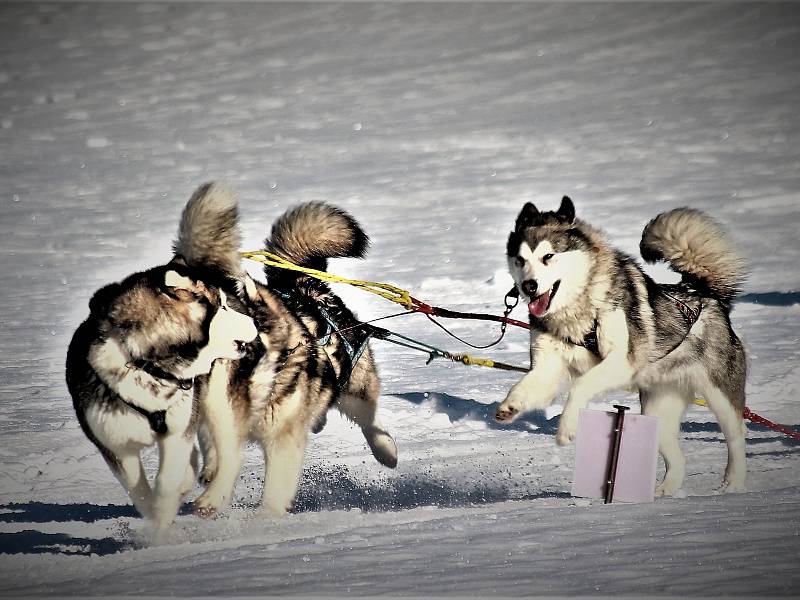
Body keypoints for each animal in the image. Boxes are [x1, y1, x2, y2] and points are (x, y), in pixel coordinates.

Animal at [67, 184, 260, 528]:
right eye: (224, 307)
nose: (254, 318)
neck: (147, 365)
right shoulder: (114, 444)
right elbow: (139, 490)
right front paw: (156, 518)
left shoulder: (176, 431)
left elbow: (166, 481)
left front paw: (162, 520)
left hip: (217, 400)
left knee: (229, 450)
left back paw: (212, 497)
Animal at [178, 189, 396, 516]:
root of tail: (299, 284)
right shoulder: (213, 413)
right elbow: (219, 451)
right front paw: (211, 485)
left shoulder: (281, 437)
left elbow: (272, 491)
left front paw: (264, 518)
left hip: (354, 386)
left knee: (368, 418)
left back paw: (386, 451)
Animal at [494, 197, 752, 492]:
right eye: (520, 259)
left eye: (548, 256)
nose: (529, 286)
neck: (576, 311)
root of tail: (703, 292)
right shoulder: (548, 368)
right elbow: (524, 386)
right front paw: (510, 406)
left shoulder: (622, 362)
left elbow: (580, 386)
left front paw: (567, 427)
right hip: (657, 411)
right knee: (677, 458)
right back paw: (663, 492)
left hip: (720, 396)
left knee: (736, 437)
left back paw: (733, 482)